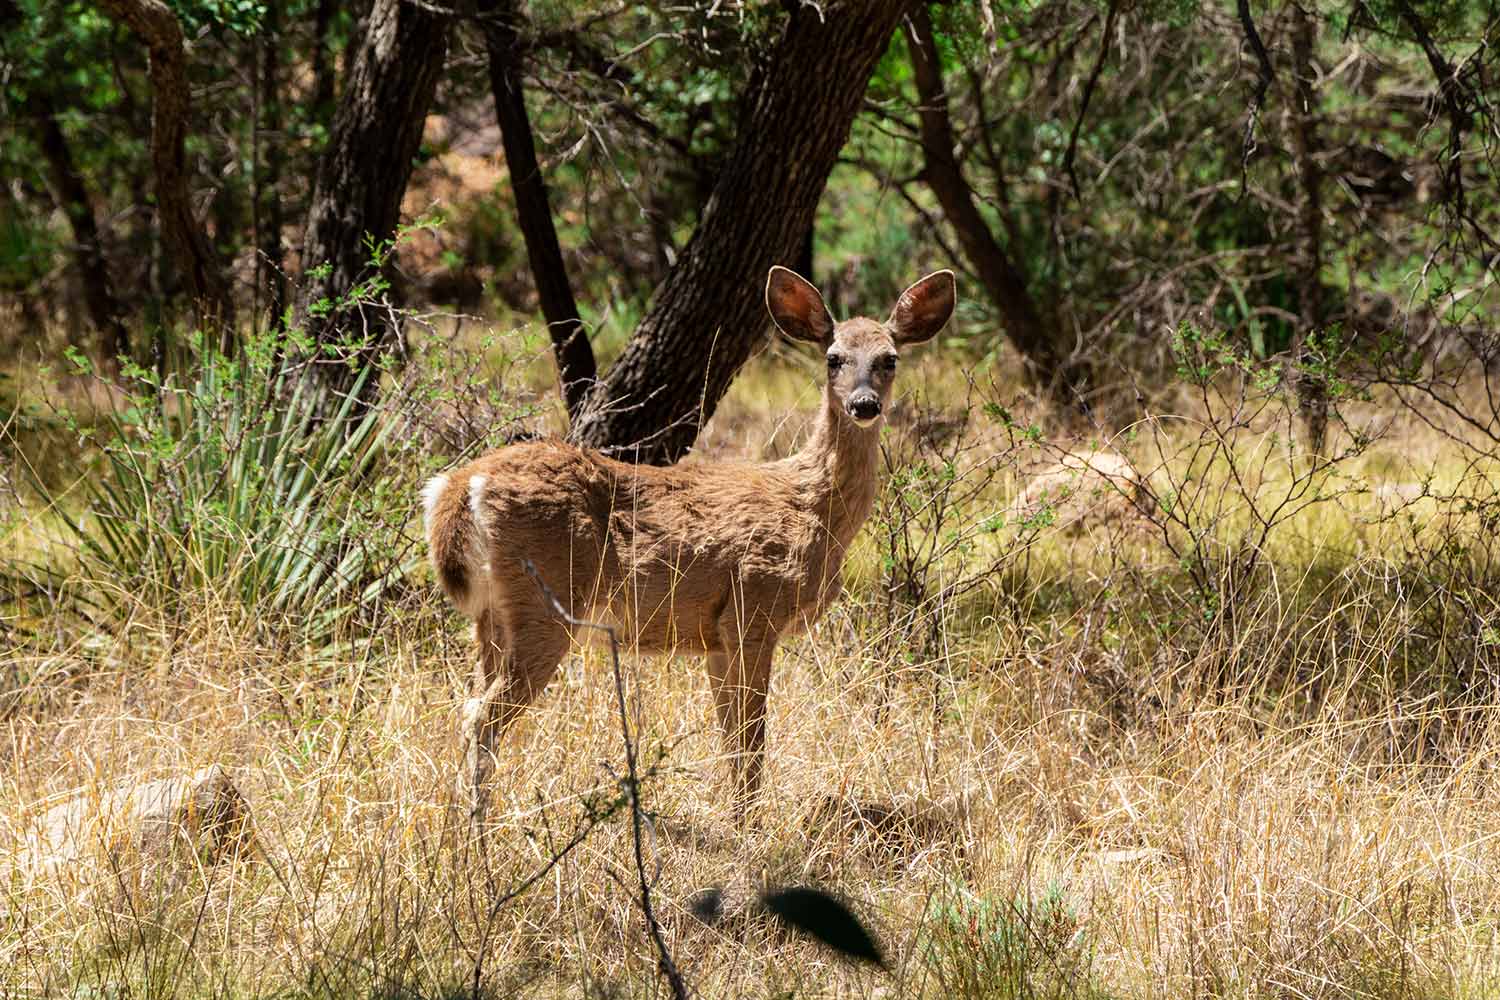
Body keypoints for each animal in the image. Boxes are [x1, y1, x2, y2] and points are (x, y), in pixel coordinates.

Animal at [420, 265, 948, 821]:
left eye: (889, 358)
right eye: (833, 357)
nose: (864, 404)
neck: (812, 507)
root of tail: (460, 485)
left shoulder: (716, 637)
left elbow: (730, 738)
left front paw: (735, 815)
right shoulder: (753, 610)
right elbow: (751, 740)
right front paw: (748, 824)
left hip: (492, 617)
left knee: (470, 704)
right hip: (546, 600)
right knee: (480, 716)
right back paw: (479, 828)